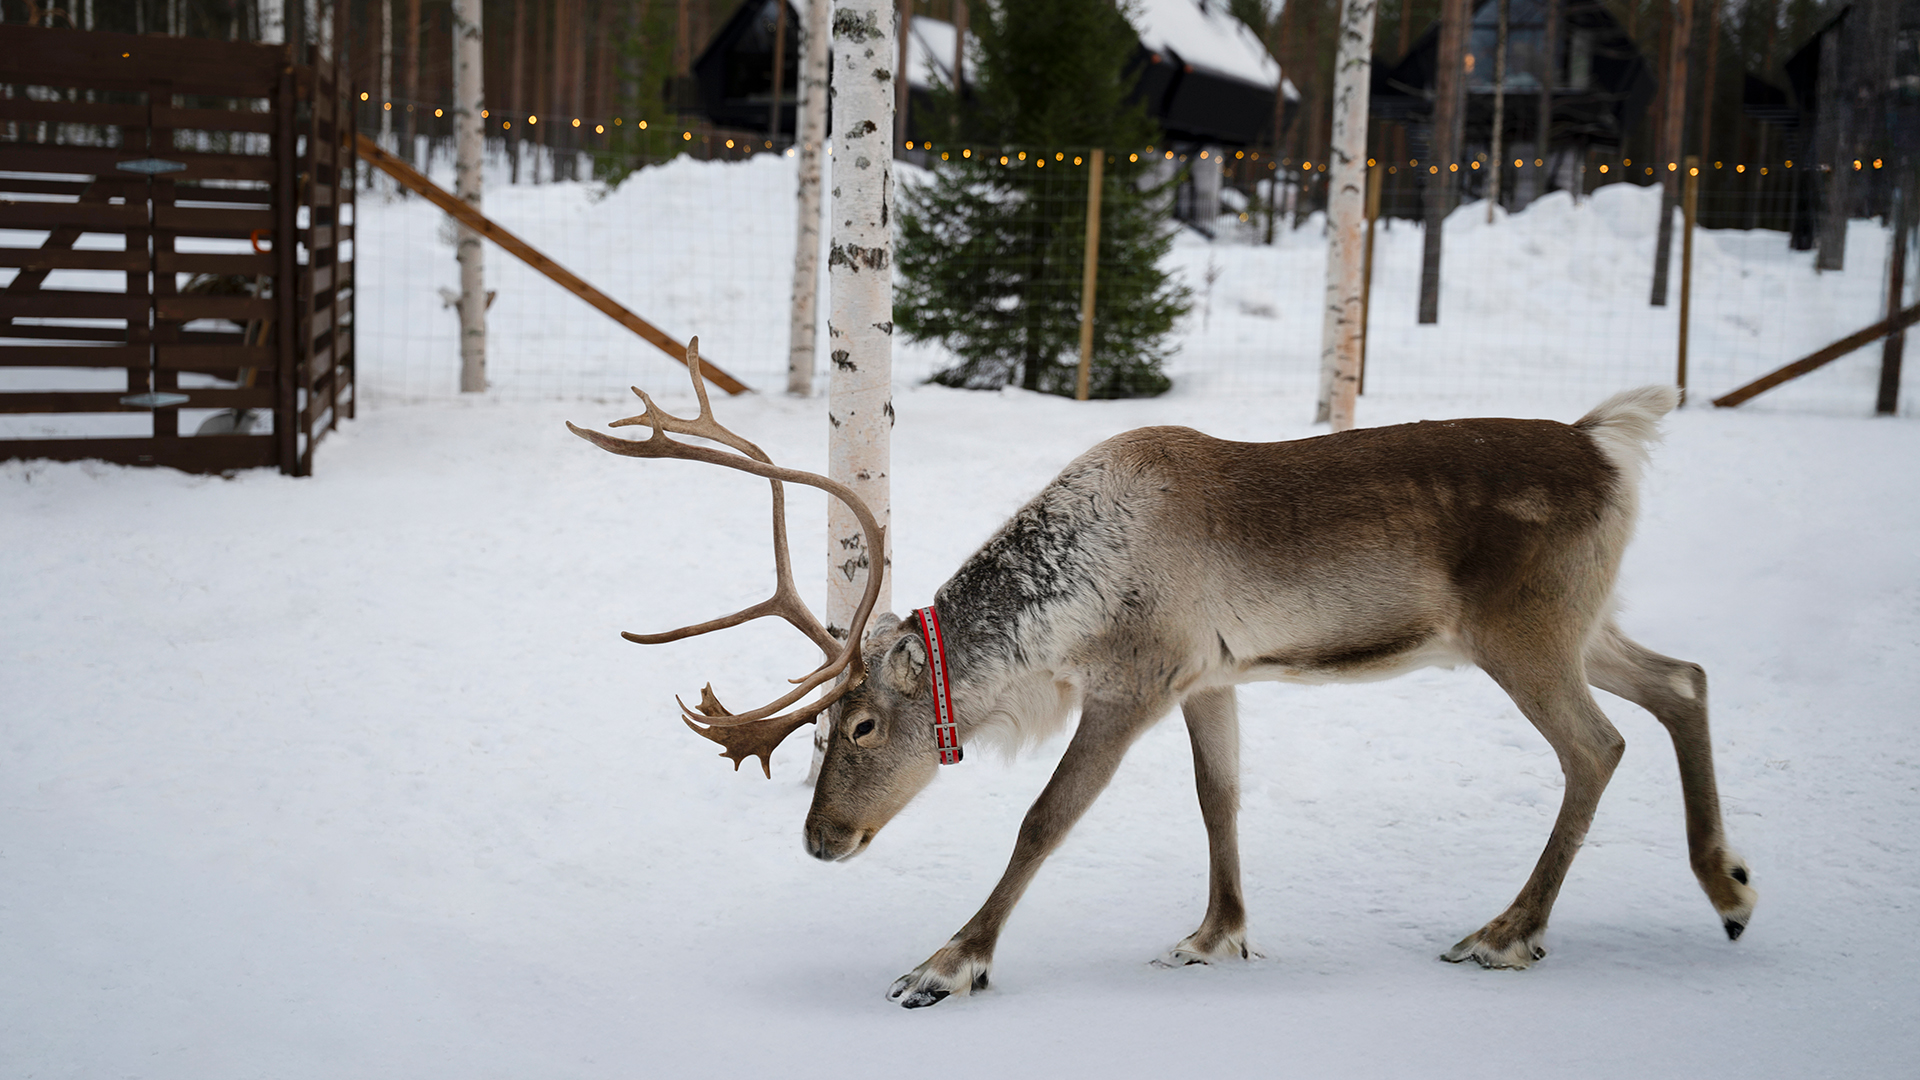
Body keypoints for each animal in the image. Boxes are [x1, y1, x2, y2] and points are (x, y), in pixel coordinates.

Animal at [569, 341, 1757, 1009]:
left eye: (856, 728)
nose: (820, 841)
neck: (1067, 610)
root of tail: (1609, 444)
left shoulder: (1133, 683)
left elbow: (1043, 820)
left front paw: (948, 964)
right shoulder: (1208, 679)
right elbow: (1217, 797)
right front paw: (1216, 934)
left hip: (1524, 633)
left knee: (1598, 745)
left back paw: (1508, 935)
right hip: (1580, 622)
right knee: (1685, 679)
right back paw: (1729, 888)